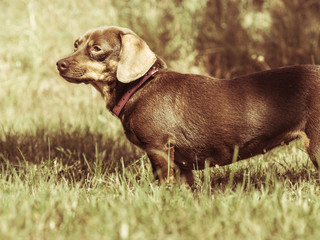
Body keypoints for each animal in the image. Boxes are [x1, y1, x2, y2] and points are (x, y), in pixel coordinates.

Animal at [57, 25, 320, 186]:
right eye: (76, 44)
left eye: (97, 49)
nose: (60, 64)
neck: (139, 87)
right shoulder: (181, 165)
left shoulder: (159, 149)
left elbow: (163, 181)